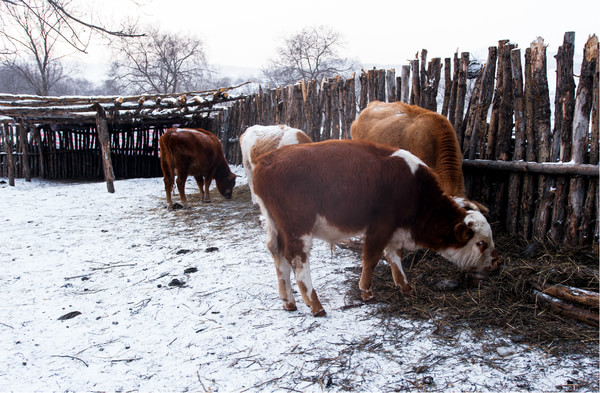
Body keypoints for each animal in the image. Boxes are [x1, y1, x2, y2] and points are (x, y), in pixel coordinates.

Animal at [251, 138, 500, 316]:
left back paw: (288, 301)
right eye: (480, 243)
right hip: (298, 231)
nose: (497, 264)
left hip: (275, 227)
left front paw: (405, 287)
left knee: (278, 256)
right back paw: (315, 305)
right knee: (298, 262)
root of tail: (265, 161)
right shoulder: (379, 228)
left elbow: (395, 257)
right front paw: (367, 292)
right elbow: (371, 259)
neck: (416, 190)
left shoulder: (395, 231)